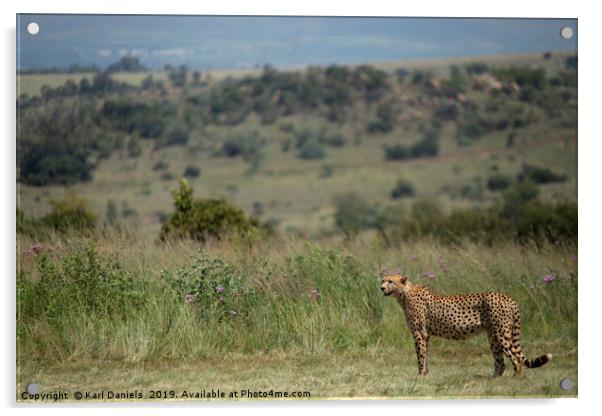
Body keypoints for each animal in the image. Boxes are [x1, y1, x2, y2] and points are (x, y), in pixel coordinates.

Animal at [382, 272, 552, 376]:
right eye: (382, 280)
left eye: (390, 281)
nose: (381, 288)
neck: (404, 293)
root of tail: (508, 298)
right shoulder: (426, 335)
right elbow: (425, 355)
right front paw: (425, 373)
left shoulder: (419, 334)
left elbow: (420, 355)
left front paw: (420, 375)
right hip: (492, 336)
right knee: (500, 362)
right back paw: (493, 380)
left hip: (501, 334)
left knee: (516, 359)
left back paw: (515, 380)